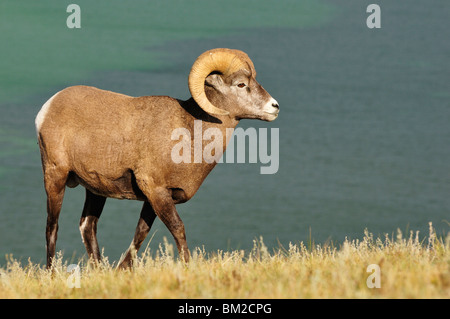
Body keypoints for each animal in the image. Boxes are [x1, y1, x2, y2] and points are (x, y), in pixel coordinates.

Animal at [36, 47, 278, 268]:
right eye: (241, 84)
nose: (274, 107)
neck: (189, 133)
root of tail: (47, 108)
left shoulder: (155, 198)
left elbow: (141, 232)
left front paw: (123, 269)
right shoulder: (156, 190)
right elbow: (178, 228)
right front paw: (186, 266)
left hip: (95, 190)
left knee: (87, 226)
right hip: (55, 176)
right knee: (52, 225)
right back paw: (51, 273)